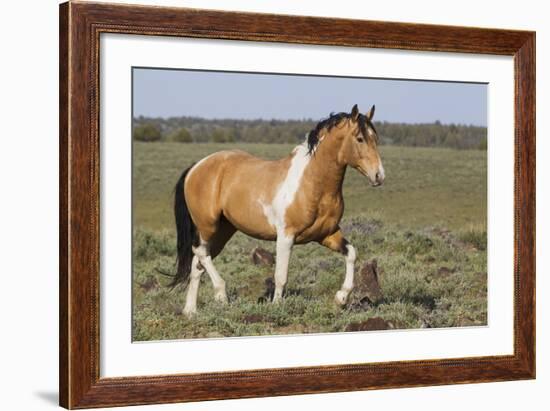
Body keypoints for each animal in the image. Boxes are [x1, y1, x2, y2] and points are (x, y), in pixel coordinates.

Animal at [171, 104, 384, 318]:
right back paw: (221, 296)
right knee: (200, 253)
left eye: (375, 138)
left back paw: (190, 311)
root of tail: (196, 167)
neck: (312, 183)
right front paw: (276, 307)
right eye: (360, 138)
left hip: (223, 231)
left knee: (197, 264)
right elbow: (281, 275)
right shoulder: (286, 237)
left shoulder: (327, 234)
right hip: (208, 227)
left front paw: (341, 298)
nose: (379, 176)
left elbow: (351, 253)